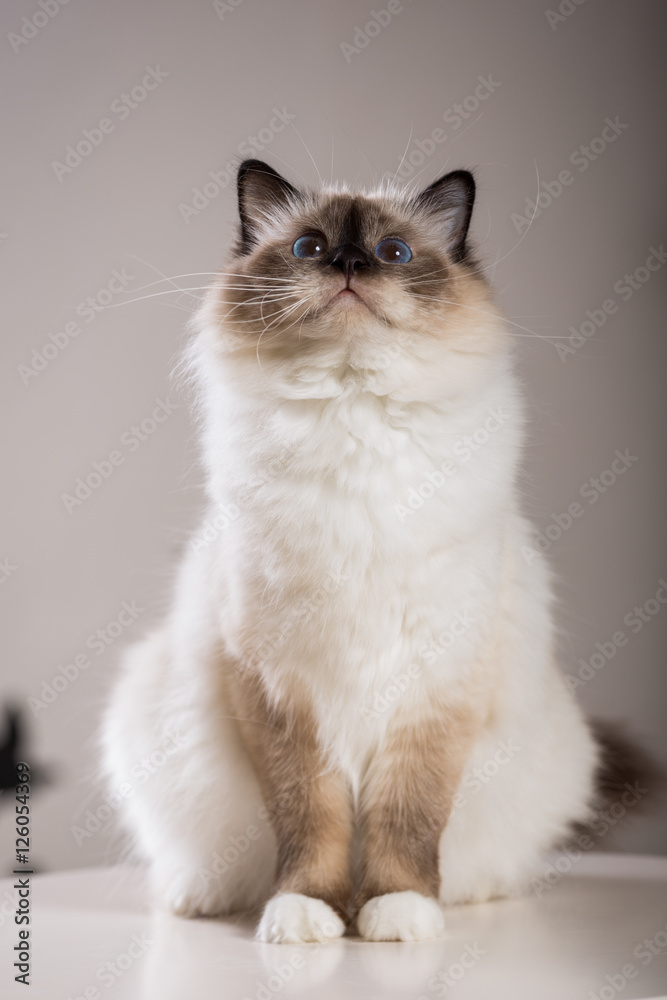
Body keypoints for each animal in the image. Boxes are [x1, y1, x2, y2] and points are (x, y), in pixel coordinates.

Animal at [103, 160, 636, 940]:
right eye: (309, 248)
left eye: (392, 253)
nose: (351, 265)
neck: (352, 419)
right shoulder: (279, 689)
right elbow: (309, 819)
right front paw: (309, 916)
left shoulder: (436, 689)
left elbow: (408, 820)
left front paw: (397, 914)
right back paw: (201, 897)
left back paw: (467, 896)